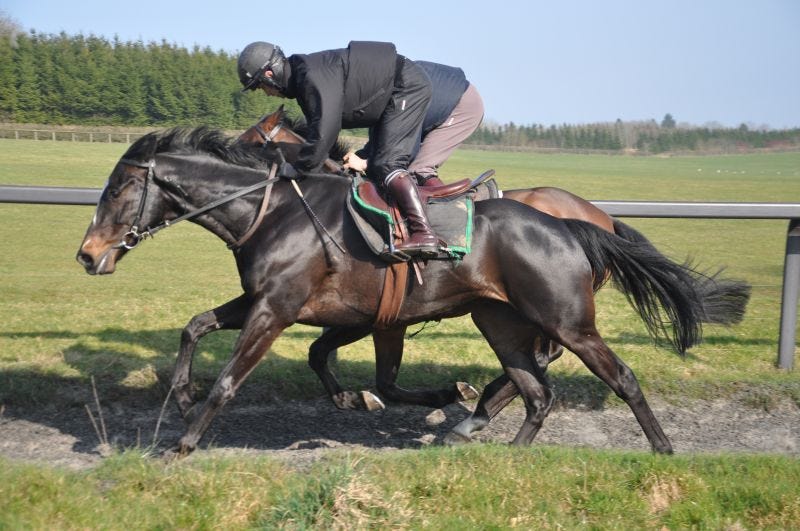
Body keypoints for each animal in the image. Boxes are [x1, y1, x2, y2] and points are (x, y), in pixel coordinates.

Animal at [76, 127, 749, 455]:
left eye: (117, 189)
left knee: (616, 376)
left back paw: (662, 448)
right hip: (499, 322)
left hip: (566, 320)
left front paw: (187, 440)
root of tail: (575, 223)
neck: (272, 211)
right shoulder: (277, 304)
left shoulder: (279, 310)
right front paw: (182, 397)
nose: (87, 254)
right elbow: (196, 325)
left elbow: (233, 378)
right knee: (536, 388)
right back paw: (498, 448)